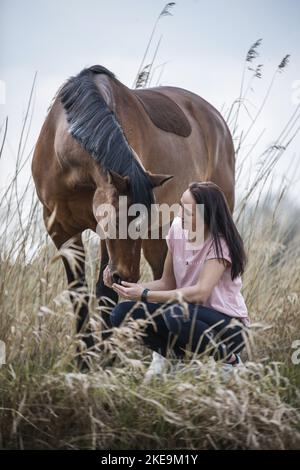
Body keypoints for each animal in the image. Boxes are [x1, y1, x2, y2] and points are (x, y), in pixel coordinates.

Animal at [31, 64, 236, 368]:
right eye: (117, 220)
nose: (126, 276)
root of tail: (215, 119)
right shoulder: (60, 228)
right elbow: (79, 294)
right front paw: (83, 361)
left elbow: (104, 294)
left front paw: (104, 358)